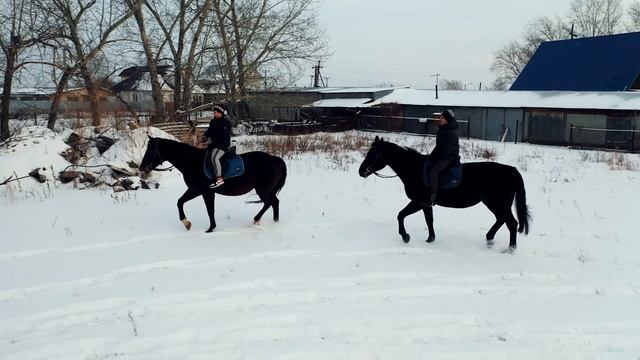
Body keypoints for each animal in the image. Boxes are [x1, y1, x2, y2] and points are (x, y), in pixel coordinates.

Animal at [142, 136, 288, 232]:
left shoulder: (205, 192)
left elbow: (210, 210)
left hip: (263, 190)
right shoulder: (194, 190)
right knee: (275, 203)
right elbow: (180, 202)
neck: (192, 162)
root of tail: (276, 159)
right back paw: (275, 222)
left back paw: (257, 219)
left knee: (270, 203)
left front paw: (210, 228)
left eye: (150, 150)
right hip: (267, 190)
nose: (142, 167)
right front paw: (187, 223)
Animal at [360, 136, 528, 252]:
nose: (361, 171)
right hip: (493, 203)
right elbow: (429, 220)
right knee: (501, 220)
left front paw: (405, 236)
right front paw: (430, 239)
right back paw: (489, 239)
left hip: (498, 203)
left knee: (511, 223)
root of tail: (511, 170)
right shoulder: (426, 204)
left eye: (375, 155)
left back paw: (510, 249)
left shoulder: (419, 201)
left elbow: (401, 215)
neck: (415, 169)